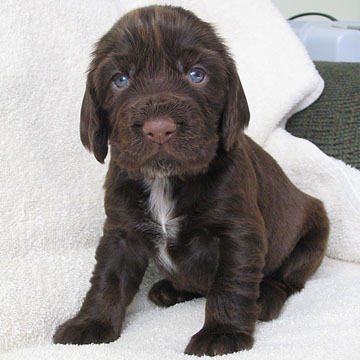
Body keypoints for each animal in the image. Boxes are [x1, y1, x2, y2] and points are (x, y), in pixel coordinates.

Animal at [53, 5, 330, 358]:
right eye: (120, 80)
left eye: (197, 75)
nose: (159, 128)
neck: (166, 180)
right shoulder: (121, 232)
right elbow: (107, 278)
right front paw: (91, 323)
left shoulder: (238, 231)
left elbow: (231, 282)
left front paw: (223, 333)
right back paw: (170, 290)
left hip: (315, 231)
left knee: (288, 278)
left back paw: (265, 298)